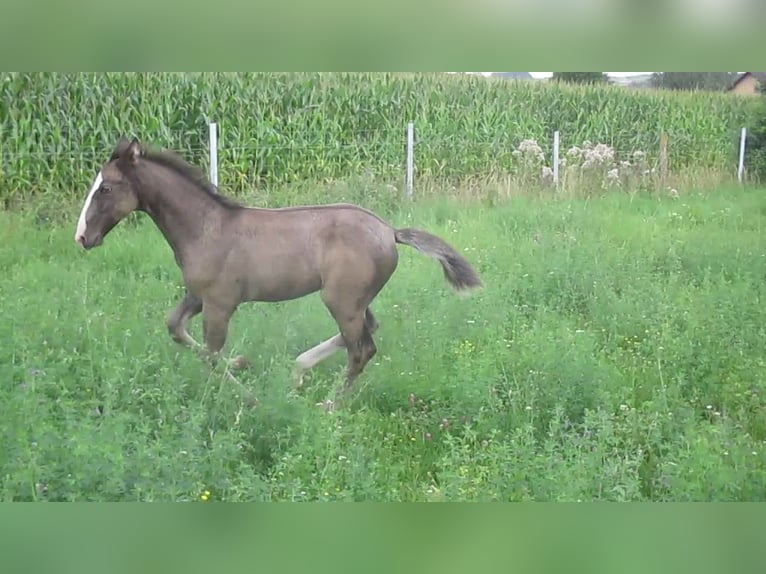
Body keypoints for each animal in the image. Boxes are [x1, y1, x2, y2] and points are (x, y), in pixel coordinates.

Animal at [75, 140, 484, 408]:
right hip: (354, 298)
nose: (82, 237)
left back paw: (328, 404)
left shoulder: (221, 302)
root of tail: (390, 231)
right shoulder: (198, 295)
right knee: (367, 329)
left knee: (362, 349)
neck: (206, 227)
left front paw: (246, 392)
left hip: (340, 298)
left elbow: (211, 353)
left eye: (106, 187)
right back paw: (299, 372)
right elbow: (176, 328)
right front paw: (242, 364)